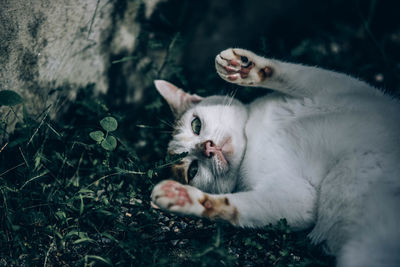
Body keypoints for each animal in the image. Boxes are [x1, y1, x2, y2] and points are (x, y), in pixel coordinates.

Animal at [151, 48, 400, 267]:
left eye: (196, 125)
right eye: (192, 170)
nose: (207, 148)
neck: (254, 137)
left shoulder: (349, 91)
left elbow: (298, 74)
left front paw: (244, 67)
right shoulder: (298, 198)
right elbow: (238, 207)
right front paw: (186, 198)